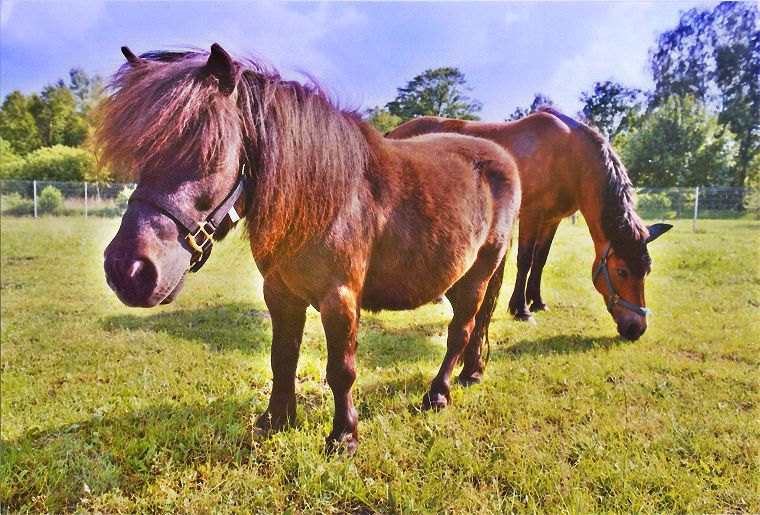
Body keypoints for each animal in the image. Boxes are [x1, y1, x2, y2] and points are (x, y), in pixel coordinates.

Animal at [96, 45, 524, 456]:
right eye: (140, 155)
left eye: (210, 151)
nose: (128, 271)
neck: (323, 200)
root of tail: (502, 157)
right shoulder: (281, 294)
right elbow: (283, 357)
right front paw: (275, 420)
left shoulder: (340, 298)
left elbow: (341, 370)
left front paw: (344, 436)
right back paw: (470, 373)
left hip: (478, 274)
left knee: (460, 331)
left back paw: (438, 393)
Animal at [386, 111, 672, 340]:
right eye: (622, 271)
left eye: (646, 272)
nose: (636, 328)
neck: (569, 157)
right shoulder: (532, 215)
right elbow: (524, 260)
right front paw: (520, 308)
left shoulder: (552, 219)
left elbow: (540, 260)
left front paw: (537, 301)